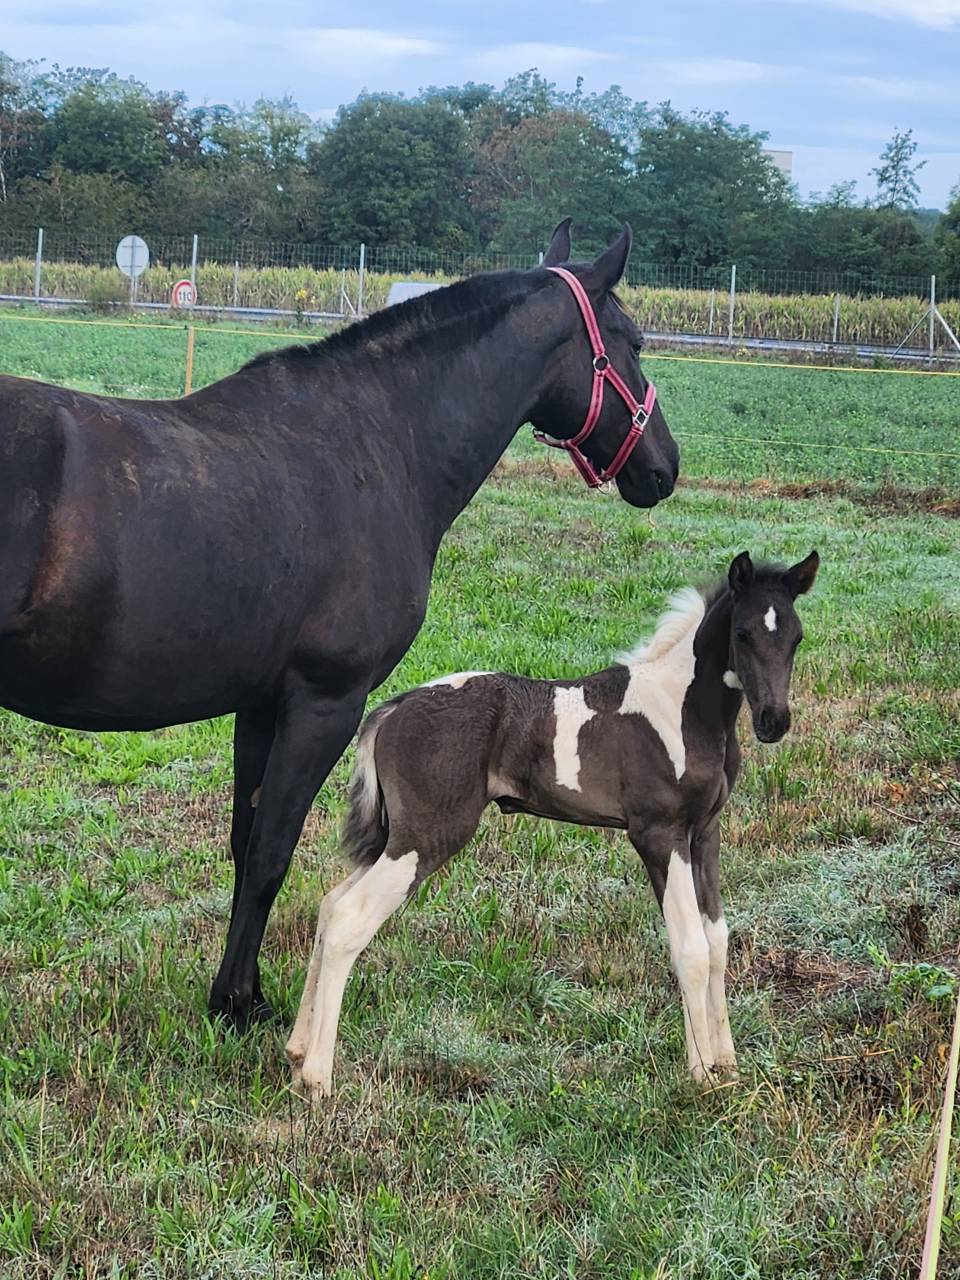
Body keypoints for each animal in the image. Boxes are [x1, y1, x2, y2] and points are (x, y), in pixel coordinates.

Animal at [0, 219, 679, 1030]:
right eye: (634, 340)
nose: (665, 468)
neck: (378, 443)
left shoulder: (262, 705)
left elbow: (246, 842)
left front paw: (241, 993)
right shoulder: (326, 702)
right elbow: (272, 852)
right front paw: (239, 1004)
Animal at [288, 549, 820, 1098]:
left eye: (796, 637)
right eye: (742, 634)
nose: (773, 721)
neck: (682, 711)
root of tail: (391, 709)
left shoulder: (704, 834)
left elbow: (716, 941)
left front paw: (727, 1065)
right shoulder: (659, 834)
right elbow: (688, 947)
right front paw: (700, 1076)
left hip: (395, 839)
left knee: (330, 907)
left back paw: (297, 1049)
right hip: (424, 837)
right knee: (349, 920)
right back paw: (317, 1078)